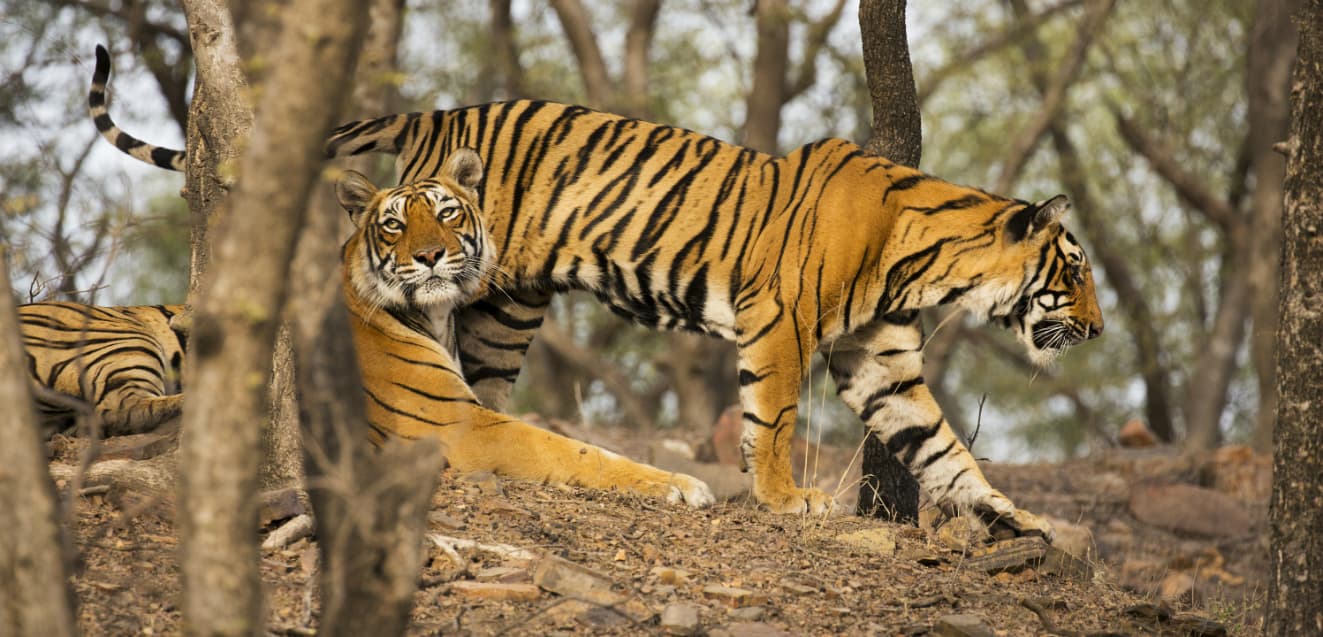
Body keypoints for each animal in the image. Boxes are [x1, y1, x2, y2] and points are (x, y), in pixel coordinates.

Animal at [90, 46, 1103, 535]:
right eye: (1077, 272)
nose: (1096, 331)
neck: (928, 263)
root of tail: (439, 110)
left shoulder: (880, 355)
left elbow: (942, 447)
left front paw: (1014, 518)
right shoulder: (781, 326)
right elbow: (773, 420)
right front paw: (784, 501)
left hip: (505, 311)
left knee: (486, 393)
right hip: (474, 282)